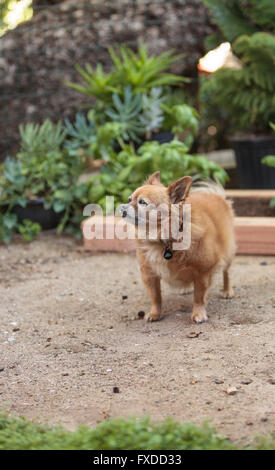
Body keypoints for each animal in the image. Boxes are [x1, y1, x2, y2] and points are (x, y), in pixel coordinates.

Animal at [121, 172, 237, 324]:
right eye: (129, 199)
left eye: (142, 203)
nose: (122, 207)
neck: (163, 241)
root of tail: (216, 196)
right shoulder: (149, 274)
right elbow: (155, 296)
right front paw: (154, 313)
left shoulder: (202, 272)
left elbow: (199, 296)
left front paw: (198, 313)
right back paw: (185, 287)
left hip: (227, 253)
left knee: (226, 272)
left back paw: (227, 291)